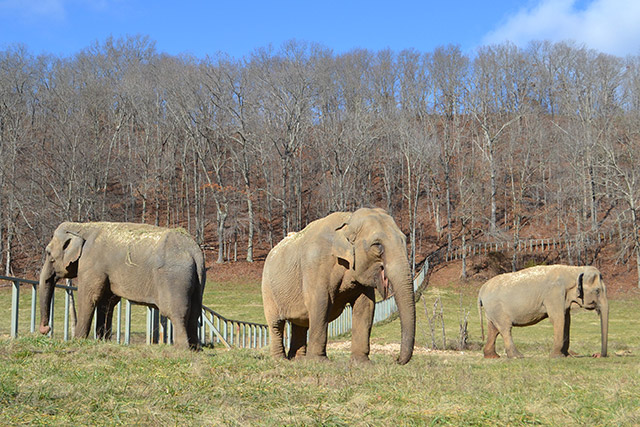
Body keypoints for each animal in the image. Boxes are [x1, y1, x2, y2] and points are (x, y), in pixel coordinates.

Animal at [37, 222, 206, 350]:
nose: (45, 329)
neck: (83, 226)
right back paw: (195, 349)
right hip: (198, 280)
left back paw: (181, 349)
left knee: (176, 312)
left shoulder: (91, 263)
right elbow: (107, 302)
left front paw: (78, 341)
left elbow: (89, 297)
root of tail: (195, 251)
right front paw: (102, 341)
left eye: (48, 253)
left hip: (173, 278)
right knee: (195, 311)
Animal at [262, 207, 418, 364]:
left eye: (404, 240)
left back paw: (297, 360)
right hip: (267, 288)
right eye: (377, 245)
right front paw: (320, 362)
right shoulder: (316, 265)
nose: (396, 360)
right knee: (276, 324)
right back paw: (280, 359)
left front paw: (362, 363)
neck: (348, 219)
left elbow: (365, 305)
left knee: (300, 323)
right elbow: (321, 303)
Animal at [478, 266, 608, 360]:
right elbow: (558, 319)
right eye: (597, 291)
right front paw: (557, 357)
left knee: (493, 329)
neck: (574, 270)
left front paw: (567, 356)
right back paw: (517, 357)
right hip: (497, 307)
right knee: (505, 328)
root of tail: (481, 290)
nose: (597, 355)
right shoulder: (554, 294)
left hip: (492, 310)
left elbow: (566, 320)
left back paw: (492, 356)